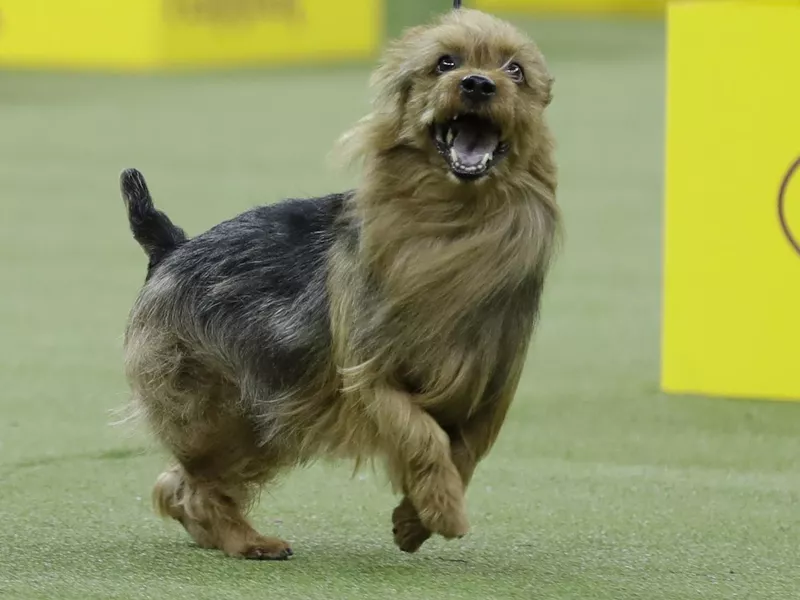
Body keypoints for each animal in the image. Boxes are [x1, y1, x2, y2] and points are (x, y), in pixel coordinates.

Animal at [122, 7, 560, 560]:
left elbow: (464, 453)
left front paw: (416, 518)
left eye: (515, 70)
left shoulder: (490, 388)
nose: (478, 83)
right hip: (224, 407)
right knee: (199, 482)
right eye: (445, 63)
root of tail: (171, 246)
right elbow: (422, 435)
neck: (454, 225)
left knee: (178, 484)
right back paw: (247, 541)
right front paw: (442, 508)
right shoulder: (371, 375)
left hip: (268, 417)